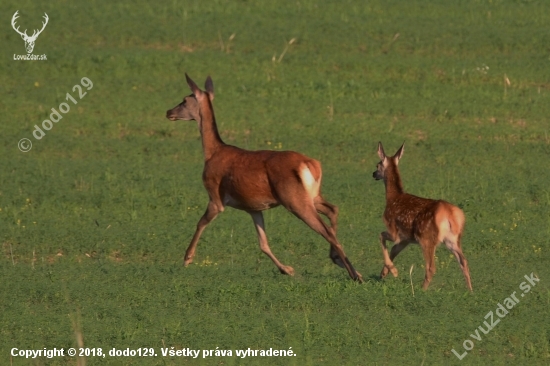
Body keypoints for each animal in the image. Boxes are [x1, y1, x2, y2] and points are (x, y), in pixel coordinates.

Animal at [165, 73, 362, 280]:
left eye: (185, 100)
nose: (168, 111)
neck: (212, 152)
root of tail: (310, 164)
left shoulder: (215, 196)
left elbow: (200, 223)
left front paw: (187, 258)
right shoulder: (253, 207)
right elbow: (263, 243)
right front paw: (287, 269)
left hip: (294, 200)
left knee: (327, 230)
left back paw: (355, 274)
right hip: (312, 196)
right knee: (333, 209)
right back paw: (341, 262)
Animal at [376, 143, 474, 292]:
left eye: (377, 165)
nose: (373, 174)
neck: (392, 198)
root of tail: (449, 213)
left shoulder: (394, 230)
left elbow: (381, 235)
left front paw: (393, 271)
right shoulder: (406, 239)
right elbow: (393, 251)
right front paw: (384, 273)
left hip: (427, 237)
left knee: (431, 267)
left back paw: (422, 290)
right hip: (452, 239)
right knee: (464, 261)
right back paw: (471, 291)